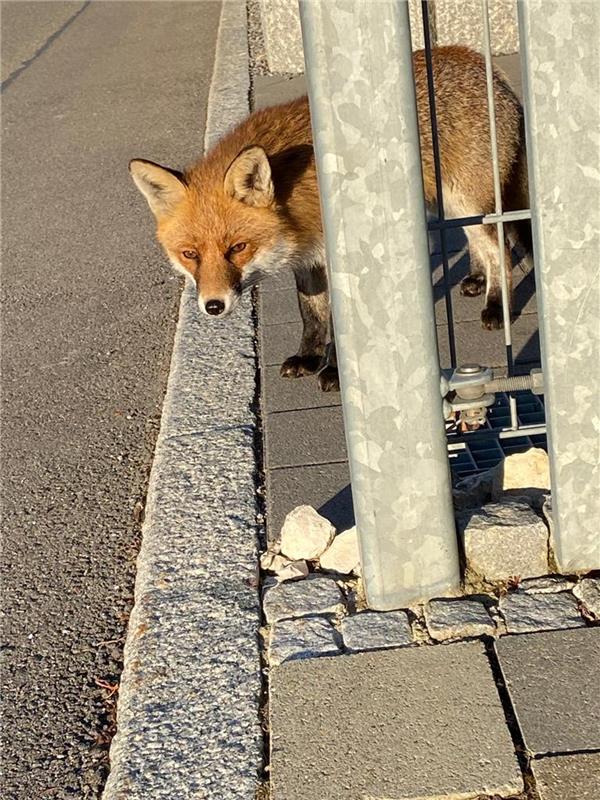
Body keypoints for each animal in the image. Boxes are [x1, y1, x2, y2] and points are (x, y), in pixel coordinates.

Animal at [130, 45, 528, 392]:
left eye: (238, 248)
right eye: (189, 254)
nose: (213, 306)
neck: (294, 199)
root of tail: (479, 60)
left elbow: (341, 325)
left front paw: (335, 372)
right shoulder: (308, 258)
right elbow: (312, 311)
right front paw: (308, 357)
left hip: (468, 203)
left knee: (500, 250)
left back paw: (497, 306)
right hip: (448, 205)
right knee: (481, 243)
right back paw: (477, 280)